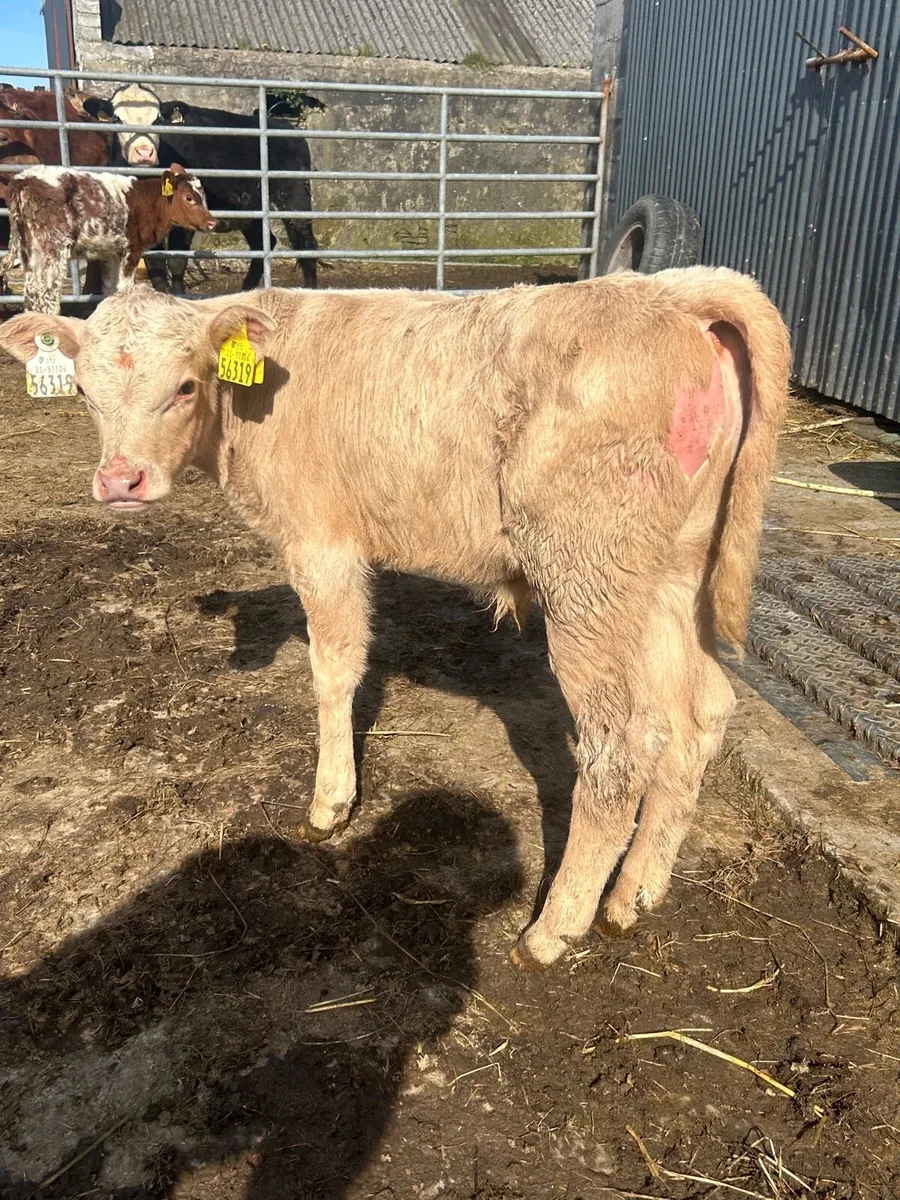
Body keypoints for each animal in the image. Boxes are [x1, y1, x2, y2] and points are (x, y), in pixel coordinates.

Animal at [0, 267, 791, 970]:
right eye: (82, 390)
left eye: (186, 385)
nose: (120, 481)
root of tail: (670, 290)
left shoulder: (322, 542)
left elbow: (334, 670)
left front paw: (330, 804)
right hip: (668, 580)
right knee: (699, 714)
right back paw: (634, 896)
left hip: (586, 578)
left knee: (622, 745)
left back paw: (554, 929)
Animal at [6, 163, 215, 312]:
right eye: (189, 198)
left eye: (204, 197)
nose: (212, 222)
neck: (144, 200)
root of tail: (23, 179)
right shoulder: (132, 249)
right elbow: (125, 288)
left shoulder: (111, 252)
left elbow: (111, 289)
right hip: (53, 248)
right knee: (48, 296)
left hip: (30, 250)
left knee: (31, 294)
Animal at [83, 84, 321, 293]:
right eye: (117, 118)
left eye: (158, 119)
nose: (144, 153)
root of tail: (284, 126)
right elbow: (155, 266)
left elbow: (177, 262)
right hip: (249, 208)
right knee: (263, 244)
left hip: (294, 195)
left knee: (304, 242)